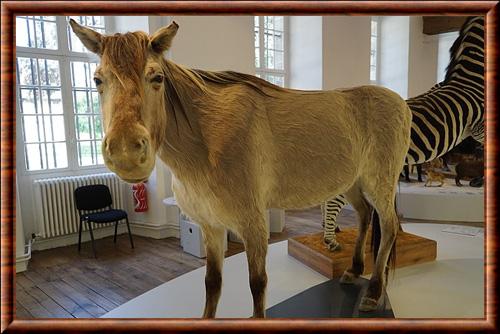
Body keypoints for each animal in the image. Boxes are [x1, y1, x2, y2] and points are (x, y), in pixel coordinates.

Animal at [71, 19, 414, 318]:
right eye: (97, 80)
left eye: (156, 78)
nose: (126, 152)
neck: (207, 143)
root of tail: (401, 103)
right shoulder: (210, 225)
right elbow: (212, 283)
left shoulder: (253, 225)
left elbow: (257, 283)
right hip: (352, 183)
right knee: (365, 216)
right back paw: (353, 270)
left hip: (378, 183)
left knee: (389, 226)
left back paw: (372, 293)